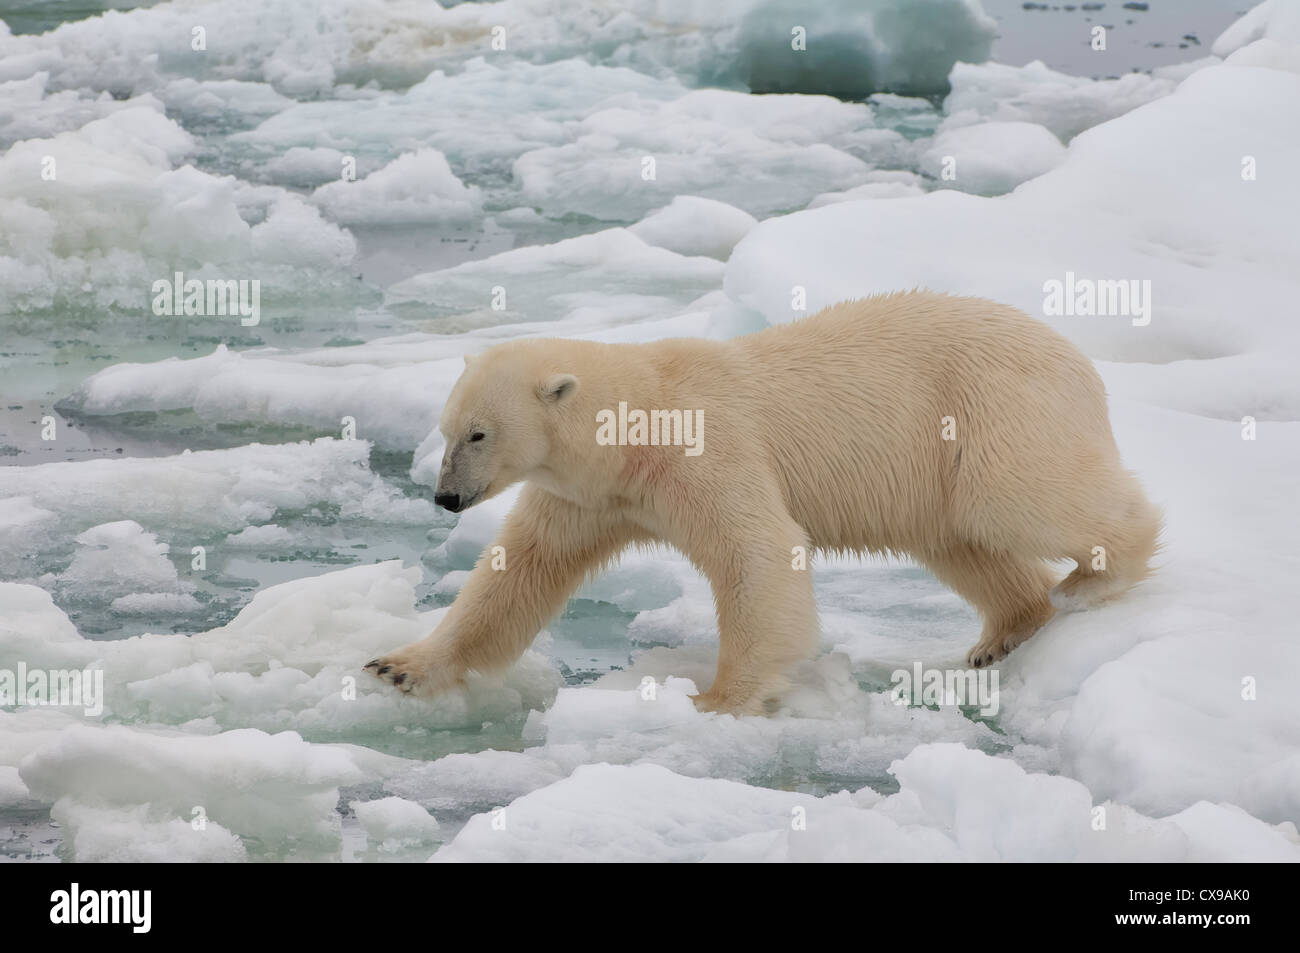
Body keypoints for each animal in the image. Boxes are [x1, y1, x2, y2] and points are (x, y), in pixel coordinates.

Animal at [366, 293, 1159, 712]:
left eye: (479, 432)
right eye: (446, 429)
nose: (446, 496)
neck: (638, 419)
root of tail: (1077, 359)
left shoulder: (706, 451)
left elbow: (756, 550)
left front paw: (718, 698)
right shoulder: (591, 495)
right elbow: (518, 573)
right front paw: (399, 665)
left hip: (989, 409)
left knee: (1023, 494)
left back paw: (1100, 574)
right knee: (962, 540)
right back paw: (1004, 631)